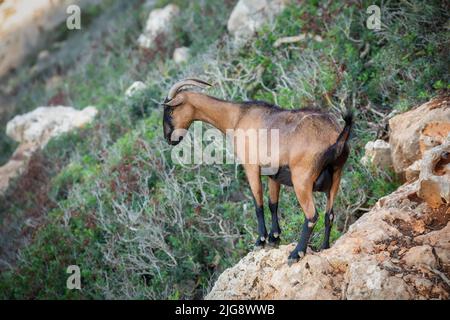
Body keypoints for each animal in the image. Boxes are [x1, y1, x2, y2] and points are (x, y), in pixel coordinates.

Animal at [162, 79, 352, 264]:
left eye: (170, 110)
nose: (168, 138)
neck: (237, 117)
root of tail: (336, 136)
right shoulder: (273, 174)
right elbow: (273, 204)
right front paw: (274, 238)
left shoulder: (251, 166)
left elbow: (258, 204)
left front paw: (260, 241)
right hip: (336, 176)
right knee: (329, 215)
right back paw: (324, 247)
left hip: (301, 180)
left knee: (312, 216)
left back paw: (296, 254)